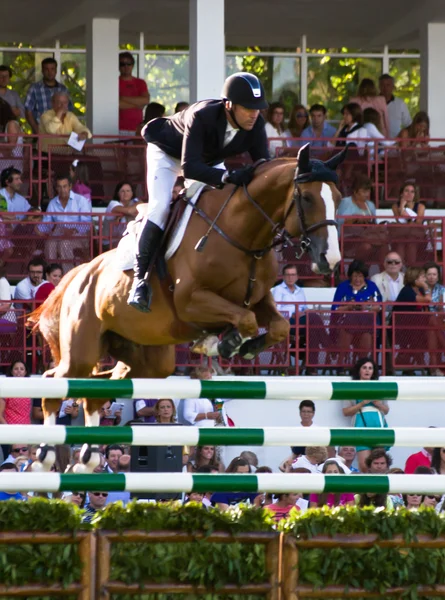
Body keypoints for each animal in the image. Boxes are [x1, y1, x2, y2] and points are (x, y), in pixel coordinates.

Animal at [28, 143, 346, 466]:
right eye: (306, 198)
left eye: (337, 198)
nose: (329, 260)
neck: (242, 234)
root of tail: (79, 274)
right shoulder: (190, 301)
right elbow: (244, 319)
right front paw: (220, 344)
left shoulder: (258, 299)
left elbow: (278, 326)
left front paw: (241, 346)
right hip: (81, 349)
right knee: (55, 381)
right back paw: (46, 452)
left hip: (149, 361)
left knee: (97, 389)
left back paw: (89, 454)